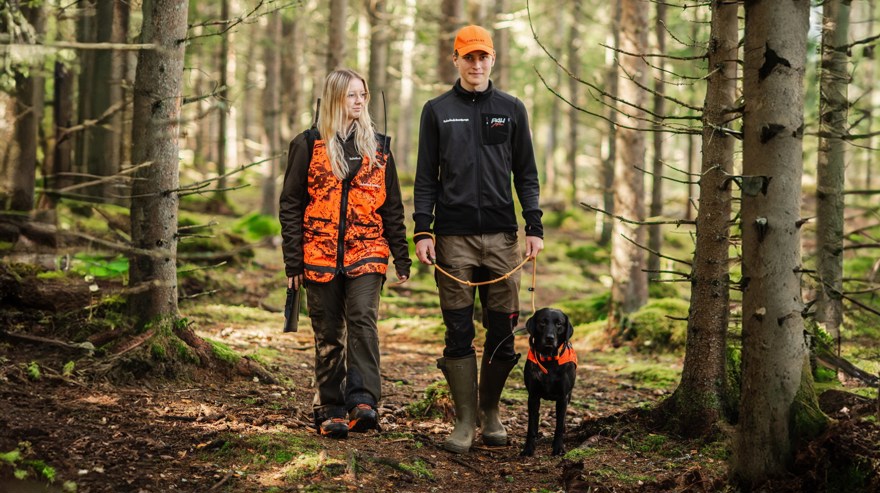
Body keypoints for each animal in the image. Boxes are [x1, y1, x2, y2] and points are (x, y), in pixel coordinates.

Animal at [520, 306, 576, 456]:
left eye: (559, 324)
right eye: (542, 322)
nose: (550, 338)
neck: (549, 360)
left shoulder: (563, 397)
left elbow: (559, 425)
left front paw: (558, 447)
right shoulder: (533, 396)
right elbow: (531, 426)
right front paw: (528, 448)